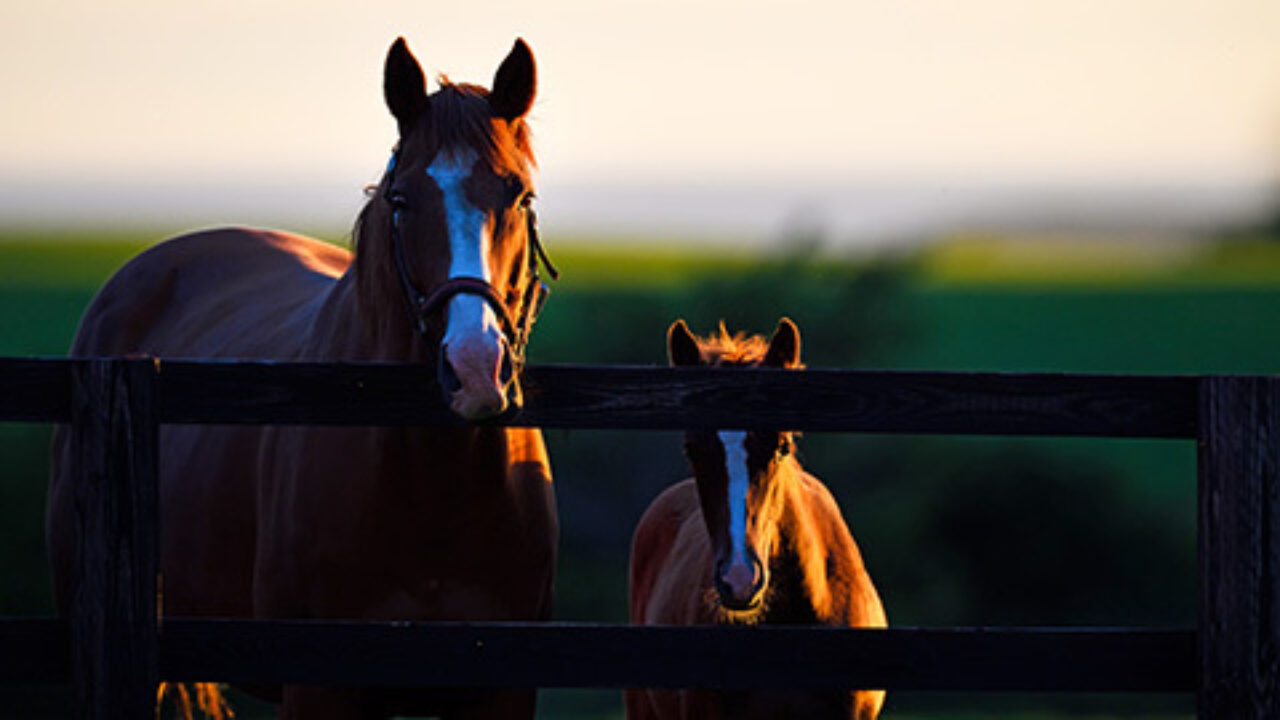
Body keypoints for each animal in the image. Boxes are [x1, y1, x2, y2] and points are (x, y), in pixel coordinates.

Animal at [47, 37, 558, 720]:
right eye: (401, 201)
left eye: (520, 196)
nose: (474, 369)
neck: (434, 487)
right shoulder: (319, 684)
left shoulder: (502, 689)